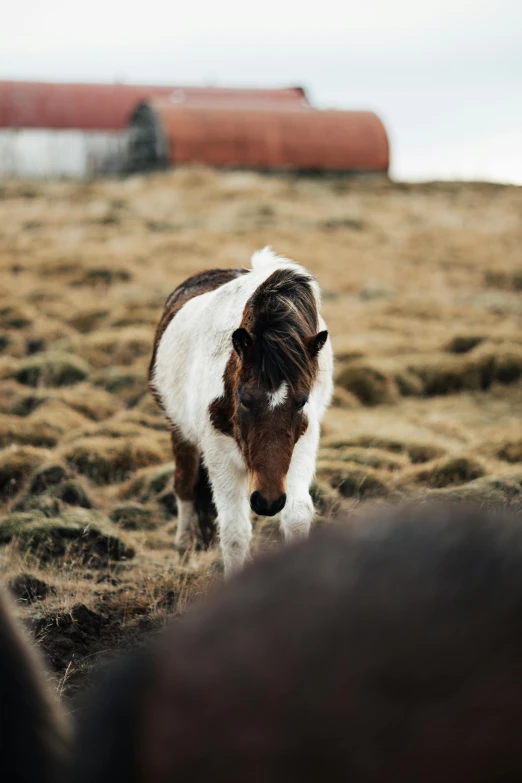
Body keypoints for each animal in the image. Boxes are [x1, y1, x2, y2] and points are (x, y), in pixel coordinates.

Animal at [148, 248, 332, 572]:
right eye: (244, 399)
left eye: (302, 401)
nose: (267, 501)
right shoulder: (219, 454)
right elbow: (234, 533)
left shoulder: (303, 443)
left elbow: (297, 516)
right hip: (180, 431)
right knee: (184, 486)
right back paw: (183, 545)